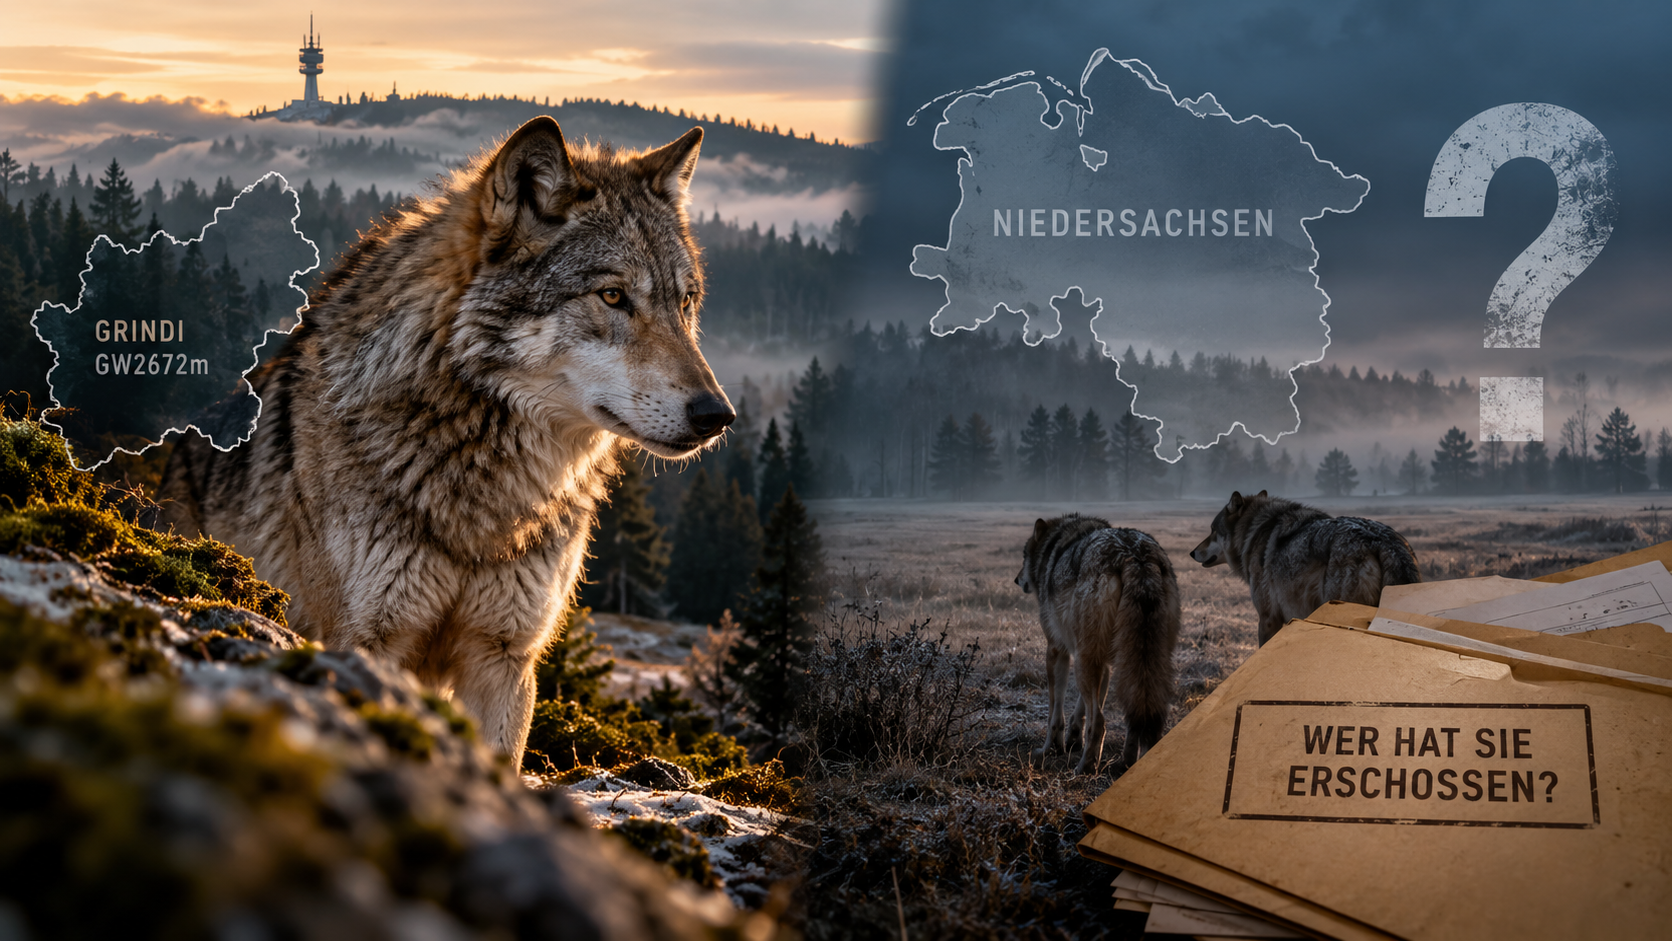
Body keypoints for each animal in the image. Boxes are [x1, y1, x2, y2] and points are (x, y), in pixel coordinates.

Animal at [1015, 515, 1181, 774]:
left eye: (1024, 556)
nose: (1017, 579)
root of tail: (1134, 555)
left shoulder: (1057, 650)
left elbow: (1055, 712)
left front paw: (1050, 749)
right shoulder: (1103, 663)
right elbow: (1082, 710)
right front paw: (1073, 739)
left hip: (1085, 661)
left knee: (1101, 722)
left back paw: (1084, 767)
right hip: (1143, 663)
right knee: (1137, 719)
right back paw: (1128, 764)